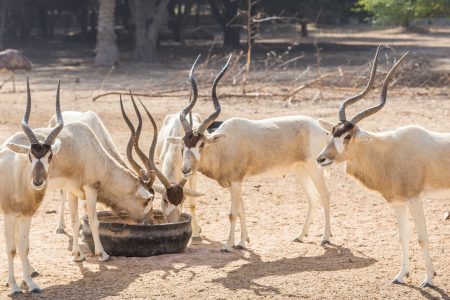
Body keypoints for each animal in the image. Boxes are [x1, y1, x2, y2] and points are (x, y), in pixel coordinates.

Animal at [1, 78, 63, 294]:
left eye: (49, 156)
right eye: (29, 155)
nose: (37, 182)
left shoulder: (26, 216)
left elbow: (23, 248)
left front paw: (31, 284)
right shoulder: (9, 215)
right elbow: (11, 249)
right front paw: (14, 287)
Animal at [169, 55, 330, 251]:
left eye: (201, 144)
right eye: (183, 144)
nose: (185, 170)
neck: (222, 146)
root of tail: (321, 129)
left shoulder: (236, 182)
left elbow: (232, 213)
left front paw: (228, 245)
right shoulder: (234, 183)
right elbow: (242, 211)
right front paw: (242, 242)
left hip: (315, 168)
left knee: (325, 196)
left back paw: (326, 238)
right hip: (301, 170)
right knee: (313, 197)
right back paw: (300, 236)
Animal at [314, 47, 442, 288]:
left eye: (347, 136)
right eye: (331, 132)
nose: (321, 159)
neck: (388, 151)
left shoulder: (414, 199)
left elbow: (422, 237)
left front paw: (429, 280)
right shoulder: (398, 202)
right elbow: (403, 236)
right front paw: (401, 276)